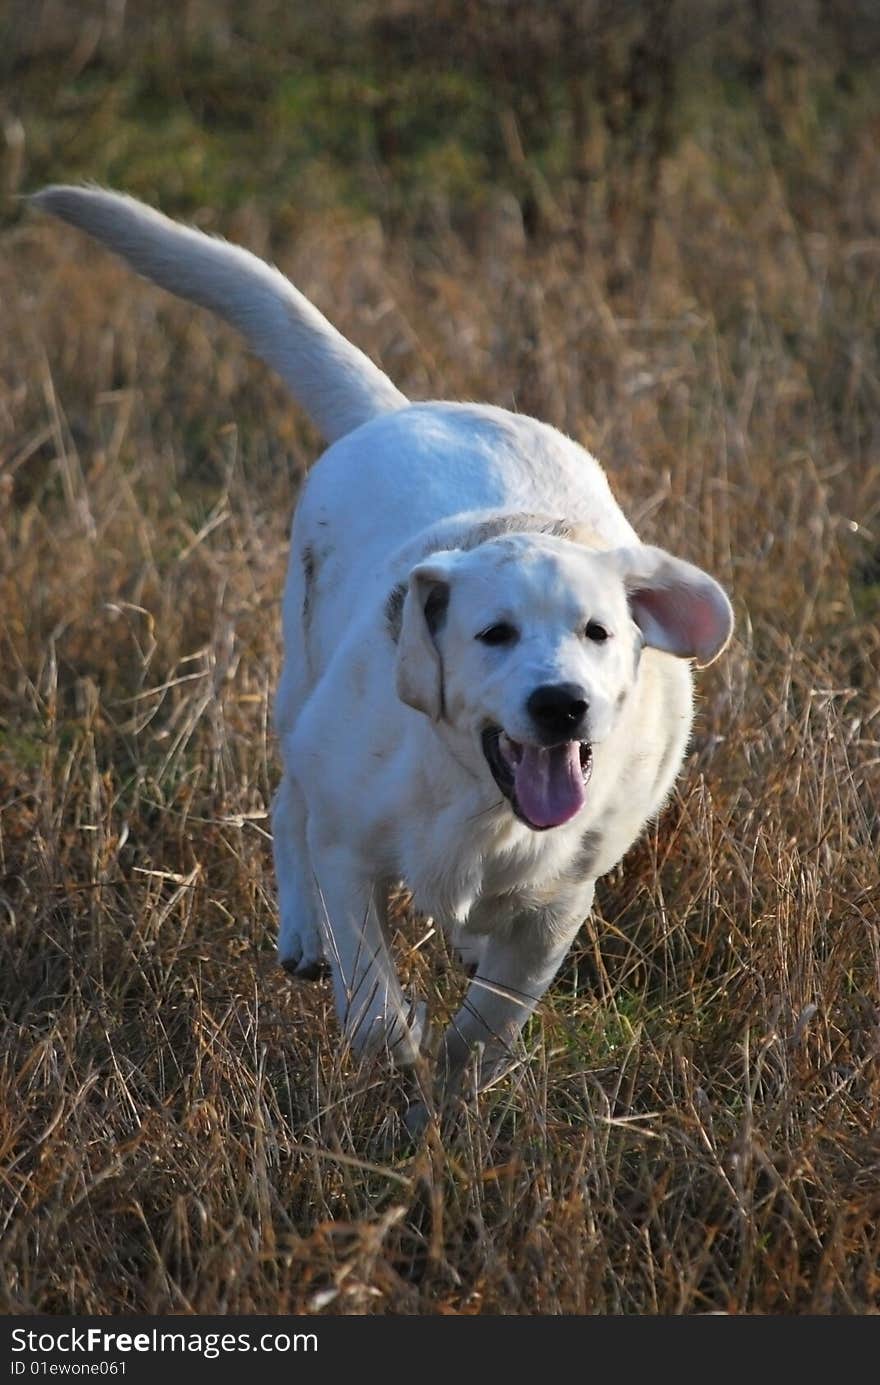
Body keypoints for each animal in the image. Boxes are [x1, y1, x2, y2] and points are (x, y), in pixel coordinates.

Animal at [37, 184, 731, 1113]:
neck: (477, 802)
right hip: (301, 685)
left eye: (599, 632)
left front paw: (454, 1092)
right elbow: (366, 982)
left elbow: (493, 1018)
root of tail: (401, 411)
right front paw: (394, 1046)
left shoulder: (561, 901)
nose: (562, 704)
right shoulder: (348, 845)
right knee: (286, 803)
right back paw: (302, 933)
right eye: (493, 633)